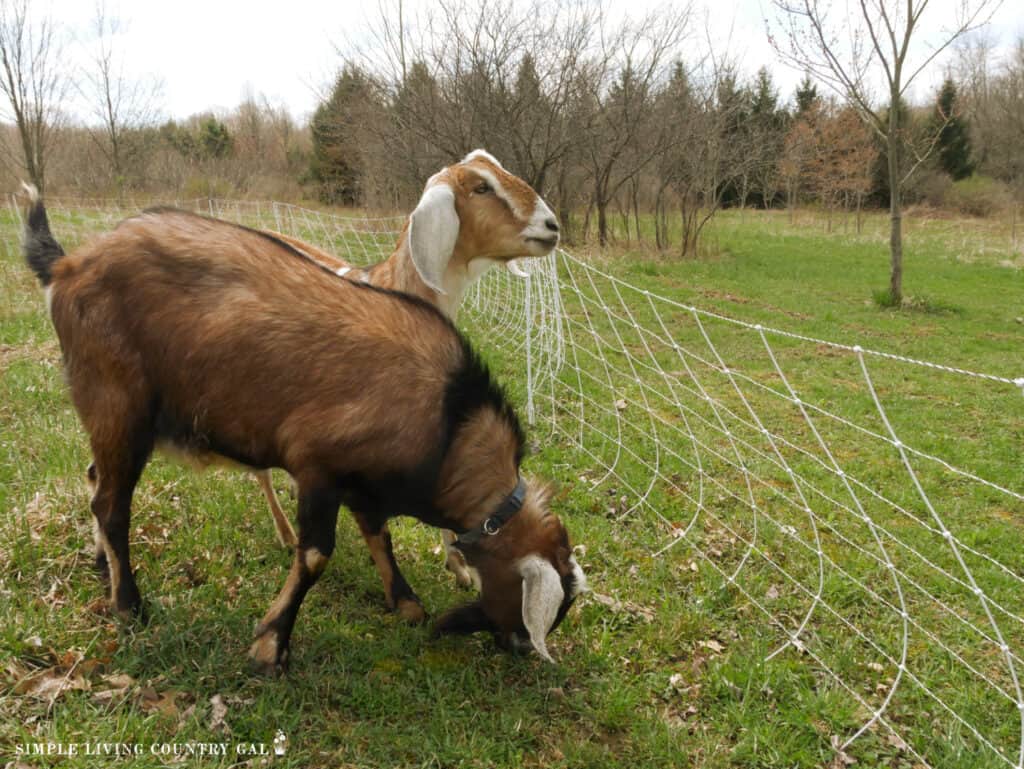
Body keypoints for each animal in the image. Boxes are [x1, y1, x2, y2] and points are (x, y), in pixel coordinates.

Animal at [22, 189, 585, 671]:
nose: (519, 647)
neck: (451, 419)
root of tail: (67, 266)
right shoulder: (318, 467)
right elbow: (316, 555)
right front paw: (271, 645)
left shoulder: (364, 481)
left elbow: (378, 533)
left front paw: (405, 602)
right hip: (119, 402)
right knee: (111, 505)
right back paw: (129, 605)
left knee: (95, 477)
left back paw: (102, 566)